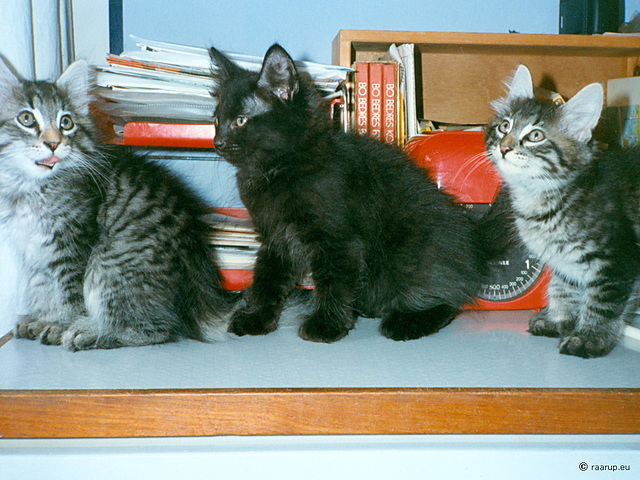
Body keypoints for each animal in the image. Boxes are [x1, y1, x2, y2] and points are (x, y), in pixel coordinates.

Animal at [0, 58, 232, 350]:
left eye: (66, 122)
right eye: (27, 119)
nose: (54, 143)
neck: (31, 186)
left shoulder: (71, 245)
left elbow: (66, 294)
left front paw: (61, 324)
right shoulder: (37, 253)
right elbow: (43, 288)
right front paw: (44, 318)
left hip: (110, 263)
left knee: (154, 329)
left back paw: (92, 331)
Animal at [210, 44, 484, 342]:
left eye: (240, 120)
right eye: (216, 119)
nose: (217, 142)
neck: (280, 168)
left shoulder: (338, 238)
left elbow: (333, 282)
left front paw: (325, 324)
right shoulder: (275, 237)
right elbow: (266, 280)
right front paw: (256, 318)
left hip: (412, 256)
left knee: (444, 298)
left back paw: (406, 321)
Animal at [484, 63, 640, 356]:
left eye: (535, 136)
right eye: (504, 126)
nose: (504, 147)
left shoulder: (617, 259)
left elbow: (601, 304)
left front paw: (590, 338)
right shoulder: (565, 262)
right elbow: (561, 289)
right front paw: (558, 320)